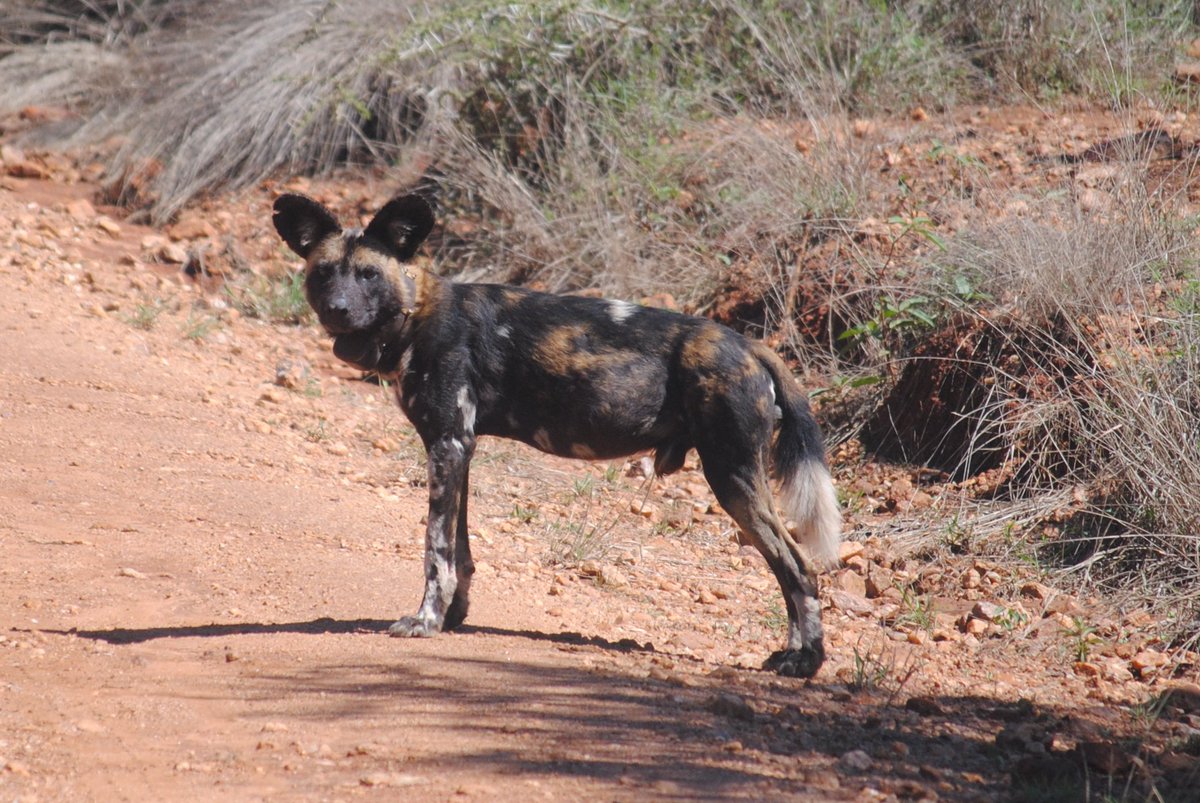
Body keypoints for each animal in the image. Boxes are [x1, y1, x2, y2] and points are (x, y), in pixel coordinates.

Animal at [273, 190, 844, 672]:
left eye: (369, 275)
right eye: (325, 273)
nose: (338, 310)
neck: (416, 316)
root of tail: (750, 345)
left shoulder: (447, 446)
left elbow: (435, 550)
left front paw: (426, 621)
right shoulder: (459, 448)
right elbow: (460, 549)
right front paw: (454, 617)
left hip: (732, 477)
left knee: (799, 567)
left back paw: (806, 662)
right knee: (793, 569)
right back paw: (796, 655)